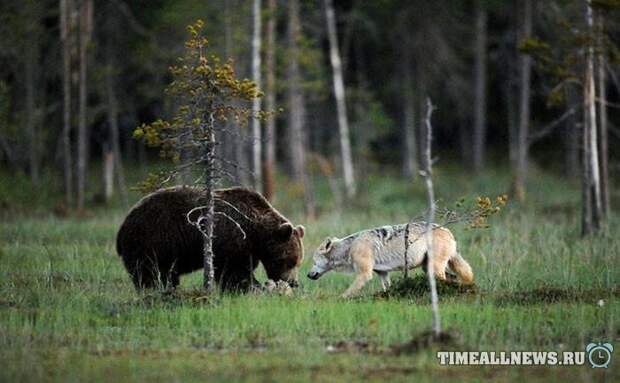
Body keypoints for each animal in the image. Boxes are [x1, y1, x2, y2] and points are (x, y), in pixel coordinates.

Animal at [116, 186, 306, 292]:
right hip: (151, 240)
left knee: (167, 274)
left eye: (298, 262)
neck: (254, 232)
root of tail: (123, 226)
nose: (293, 282)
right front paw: (251, 287)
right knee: (148, 272)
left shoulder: (248, 247)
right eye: (288, 260)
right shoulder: (231, 238)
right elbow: (234, 271)